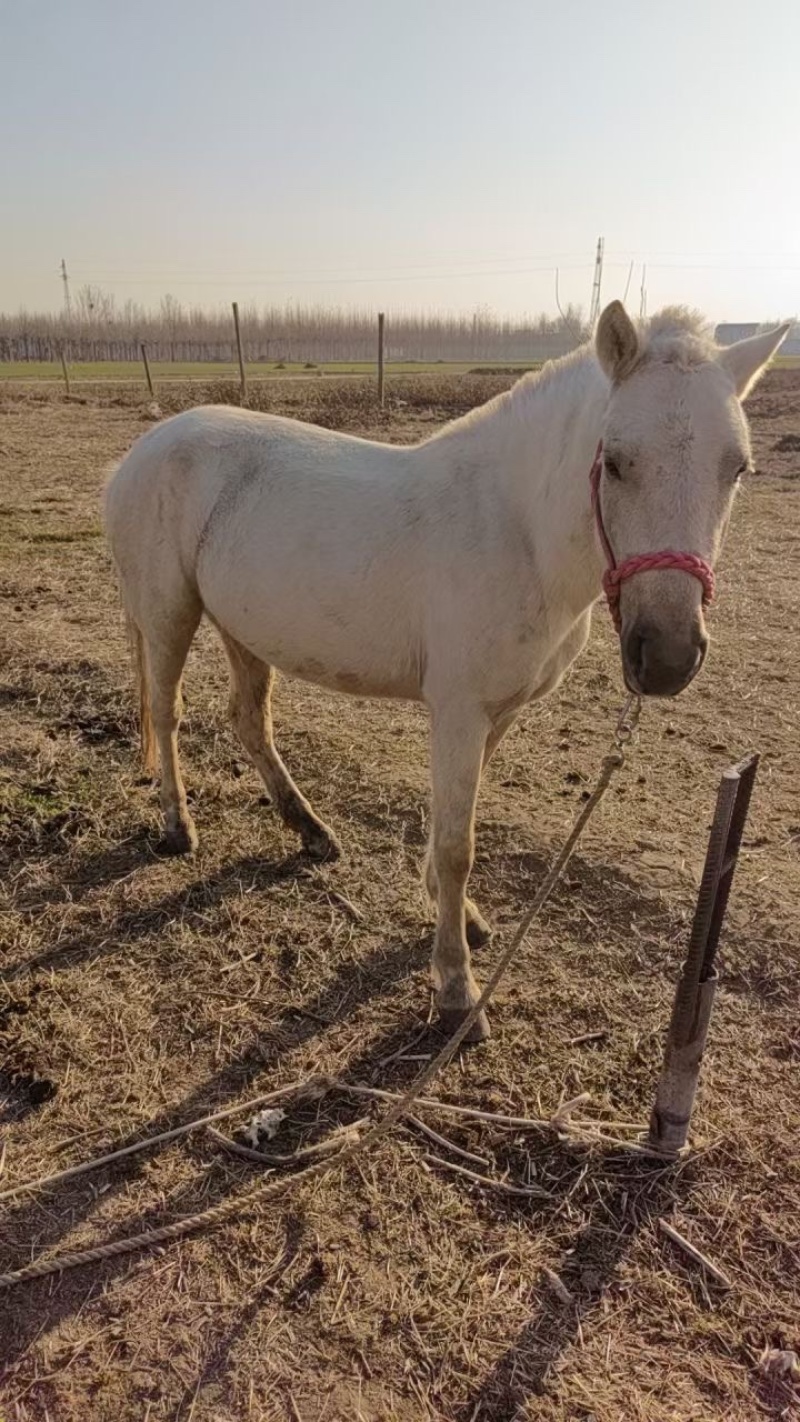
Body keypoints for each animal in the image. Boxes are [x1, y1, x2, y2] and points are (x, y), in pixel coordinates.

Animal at [105, 301, 788, 1039]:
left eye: (737, 469)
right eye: (615, 462)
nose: (665, 655)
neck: (515, 531)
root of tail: (142, 451)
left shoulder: (499, 712)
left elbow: (452, 825)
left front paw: (456, 915)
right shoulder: (459, 712)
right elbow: (460, 844)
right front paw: (457, 986)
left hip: (244, 627)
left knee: (249, 723)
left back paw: (312, 832)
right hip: (170, 615)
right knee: (167, 716)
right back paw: (179, 828)